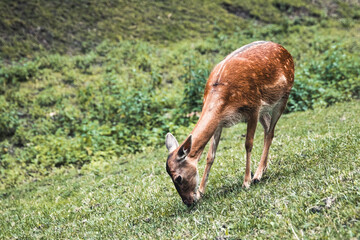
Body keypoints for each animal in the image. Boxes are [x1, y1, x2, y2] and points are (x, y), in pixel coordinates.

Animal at [165, 41, 294, 206]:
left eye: (178, 178)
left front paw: (246, 182)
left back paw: (257, 175)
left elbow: (248, 144)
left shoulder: (253, 107)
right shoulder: (220, 121)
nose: (188, 202)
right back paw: (263, 169)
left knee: (270, 132)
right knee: (267, 128)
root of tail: (284, 49)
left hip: (284, 95)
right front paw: (201, 191)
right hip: (265, 108)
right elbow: (210, 156)